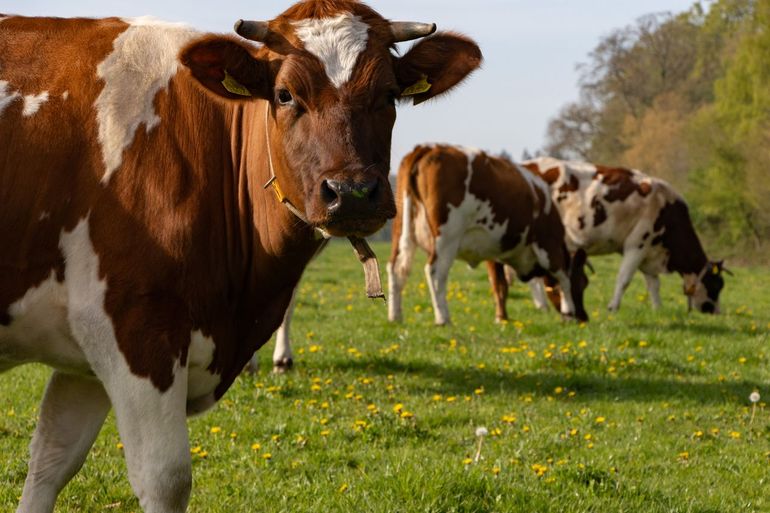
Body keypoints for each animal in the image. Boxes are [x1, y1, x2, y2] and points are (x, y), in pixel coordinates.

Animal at [0, 2, 481, 510]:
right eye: (285, 94)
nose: (351, 193)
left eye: (389, 94)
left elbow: (50, 462)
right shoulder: (136, 329)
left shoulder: (86, 358)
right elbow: (165, 479)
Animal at [387, 144, 589, 326]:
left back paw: (395, 316)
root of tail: (428, 147)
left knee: (396, 268)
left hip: (401, 228)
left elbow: (500, 285)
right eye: (583, 282)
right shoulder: (548, 244)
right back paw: (443, 318)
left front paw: (502, 318)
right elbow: (564, 278)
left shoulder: (495, 251)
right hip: (446, 237)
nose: (584, 318)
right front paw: (569, 311)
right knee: (435, 272)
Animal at [520, 157, 727, 314]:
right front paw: (613, 307)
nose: (716, 312)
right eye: (717, 285)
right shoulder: (637, 244)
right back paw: (543, 305)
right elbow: (624, 279)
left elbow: (654, 284)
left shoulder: (650, 251)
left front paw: (658, 309)